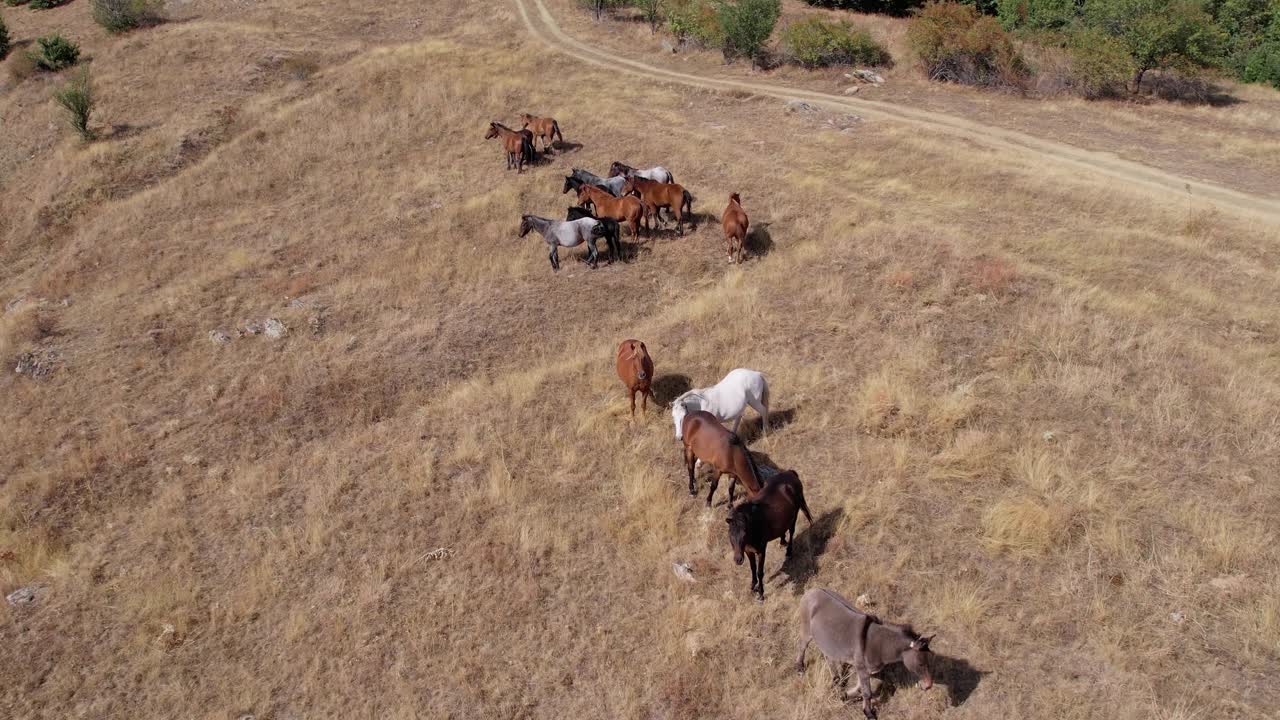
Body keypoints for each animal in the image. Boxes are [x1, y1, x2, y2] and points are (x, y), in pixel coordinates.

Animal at [727, 466, 814, 599]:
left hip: (795, 514)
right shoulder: (748, 551)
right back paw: (782, 541)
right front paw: (752, 587)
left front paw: (761, 594)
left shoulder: (761, 550)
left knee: (792, 531)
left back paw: (789, 552)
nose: (738, 559)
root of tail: (790, 473)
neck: (754, 524)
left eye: (744, 533)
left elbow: (759, 572)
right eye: (730, 535)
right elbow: (752, 569)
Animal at [793, 586, 936, 712]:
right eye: (921, 664)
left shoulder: (867, 670)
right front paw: (868, 712)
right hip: (806, 630)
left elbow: (860, 689)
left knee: (829, 658)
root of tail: (813, 589)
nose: (928, 686)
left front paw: (845, 696)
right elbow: (867, 693)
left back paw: (836, 680)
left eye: (929, 662)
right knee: (802, 646)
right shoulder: (862, 669)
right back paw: (800, 668)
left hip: (827, 641)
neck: (879, 644)